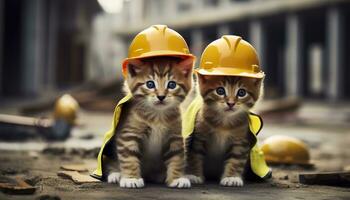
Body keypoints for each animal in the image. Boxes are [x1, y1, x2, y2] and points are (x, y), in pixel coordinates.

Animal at [106, 56, 194, 189]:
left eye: (172, 84)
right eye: (150, 84)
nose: (161, 96)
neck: (158, 115)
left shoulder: (175, 137)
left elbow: (176, 157)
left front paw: (176, 178)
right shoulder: (128, 134)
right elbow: (129, 158)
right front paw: (131, 179)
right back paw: (115, 174)